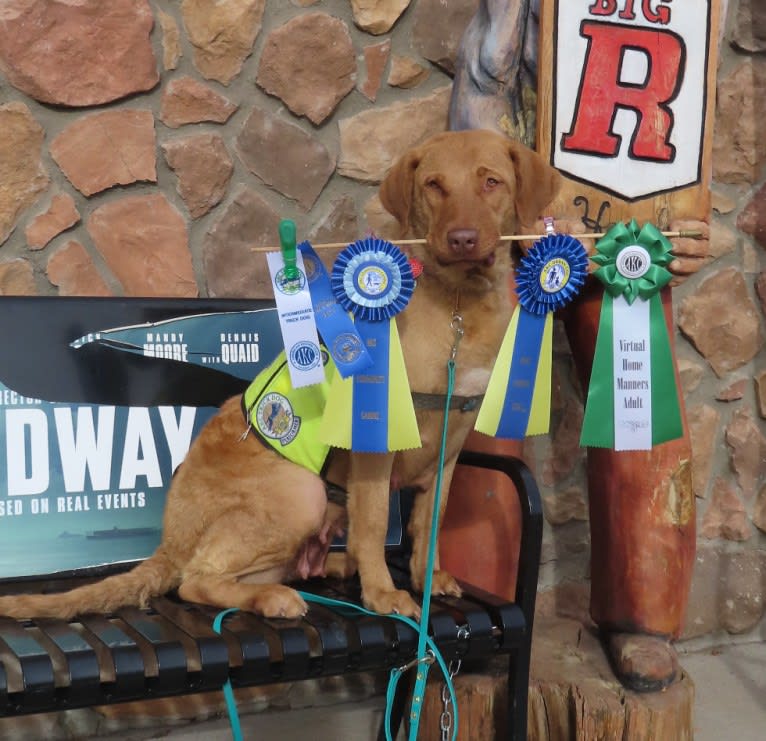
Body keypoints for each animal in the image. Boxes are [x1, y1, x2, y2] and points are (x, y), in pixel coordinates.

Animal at [0, 130, 560, 620]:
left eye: (491, 182)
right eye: (434, 186)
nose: (462, 239)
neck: (459, 306)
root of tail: (170, 539)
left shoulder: (451, 443)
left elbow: (430, 521)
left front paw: (426, 579)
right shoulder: (376, 446)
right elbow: (375, 524)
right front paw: (384, 594)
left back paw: (325, 569)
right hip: (299, 493)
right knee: (196, 581)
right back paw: (277, 596)